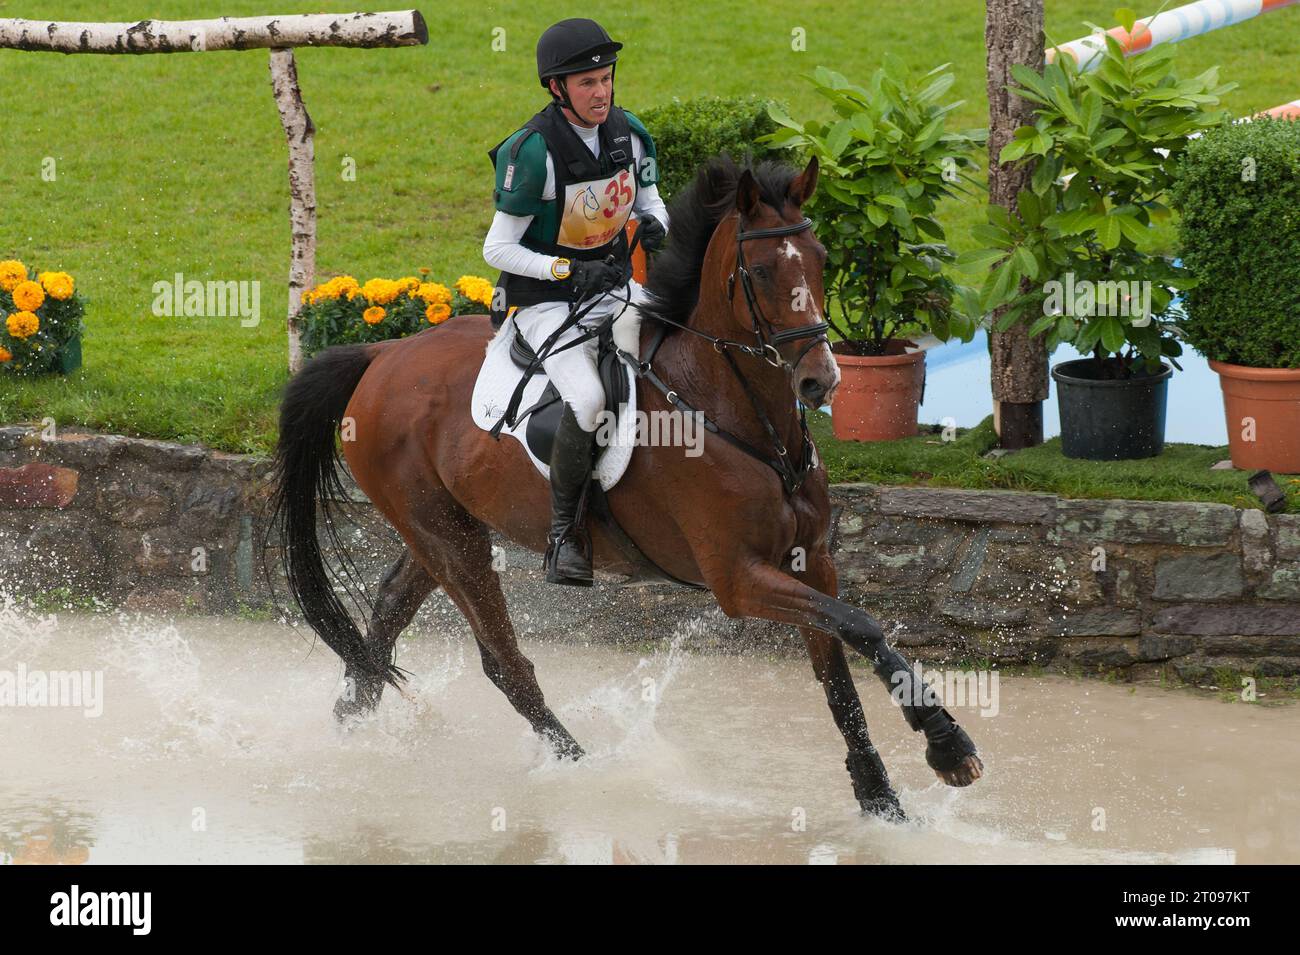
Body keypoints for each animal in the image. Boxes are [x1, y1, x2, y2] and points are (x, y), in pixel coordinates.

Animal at [269, 153, 977, 815]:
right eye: (760, 272)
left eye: (821, 260)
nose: (819, 381)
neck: (741, 418)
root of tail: (382, 355)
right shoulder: (738, 579)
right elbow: (862, 627)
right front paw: (945, 743)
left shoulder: (812, 561)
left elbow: (839, 671)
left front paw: (879, 794)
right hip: (446, 537)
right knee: (503, 661)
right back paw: (584, 769)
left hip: (445, 526)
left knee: (387, 617)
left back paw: (350, 726)